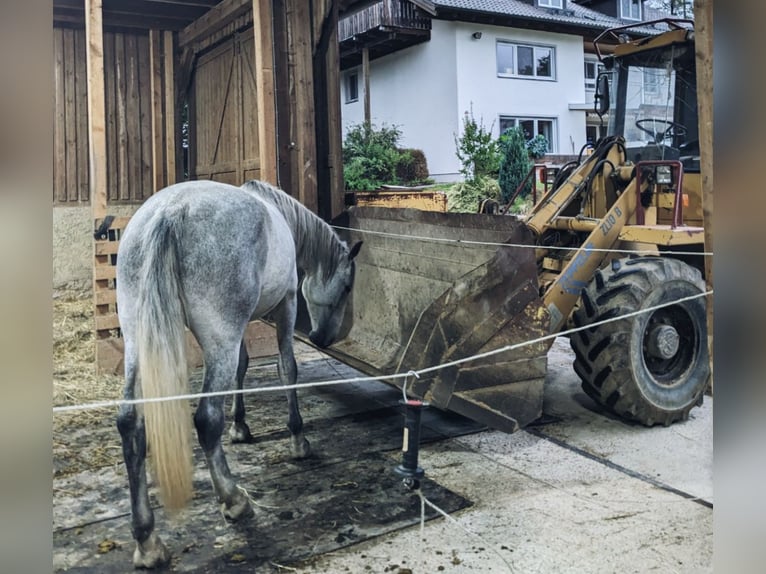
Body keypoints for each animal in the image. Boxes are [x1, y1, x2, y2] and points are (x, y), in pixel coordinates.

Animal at [115, 181, 364, 572]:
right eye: (347, 287)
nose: (324, 338)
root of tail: (170, 212)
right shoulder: (286, 304)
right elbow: (286, 367)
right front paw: (298, 441)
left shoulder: (243, 328)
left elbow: (243, 368)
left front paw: (241, 427)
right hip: (219, 338)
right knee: (205, 419)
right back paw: (234, 500)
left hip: (138, 341)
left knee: (130, 423)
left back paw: (148, 542)